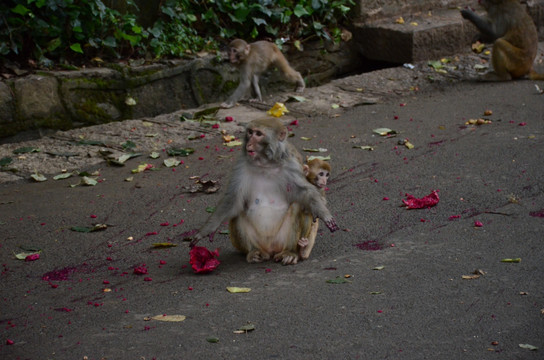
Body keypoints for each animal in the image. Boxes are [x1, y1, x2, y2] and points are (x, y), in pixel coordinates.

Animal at [191, 117, 336, 264]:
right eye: (250, 132)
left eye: (259, 134)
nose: (249, 144)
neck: (266, 163)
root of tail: (270, 250)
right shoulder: (241, 163)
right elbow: (233, 198)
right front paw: (207, 230)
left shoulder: (292, 163)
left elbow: (305, 192)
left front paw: (324, 214)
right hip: (257, 241)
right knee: (238, 210)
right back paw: (254, 252)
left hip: (280, 240)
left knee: (298, 205)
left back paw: (290, 252)